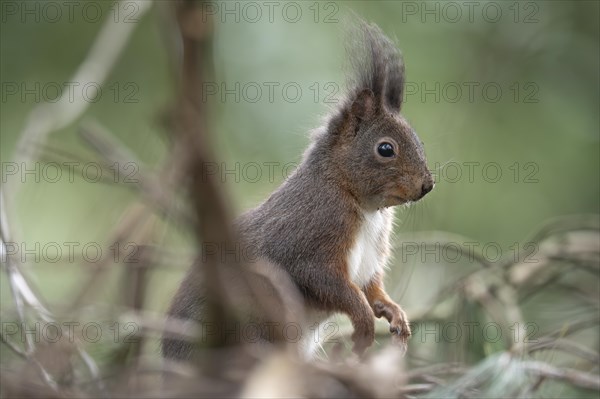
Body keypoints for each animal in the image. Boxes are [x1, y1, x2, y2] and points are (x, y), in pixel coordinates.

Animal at [162, 21, 434, 360]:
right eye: (386, 149)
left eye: (419, 140)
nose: (427, 185)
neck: (361, 204)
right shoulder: (309, 241)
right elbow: (333, 286)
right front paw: (364, 324)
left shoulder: (371, 260)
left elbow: (372, 289)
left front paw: (395, 313)